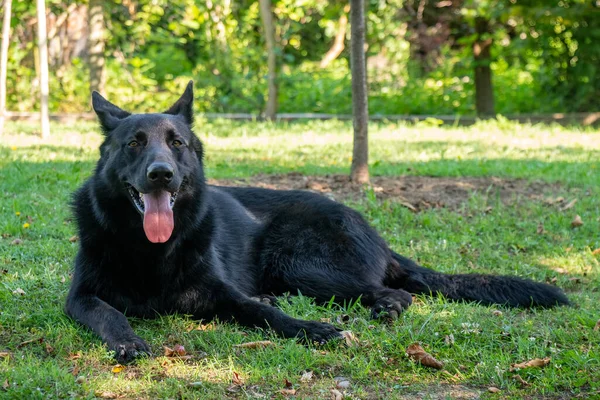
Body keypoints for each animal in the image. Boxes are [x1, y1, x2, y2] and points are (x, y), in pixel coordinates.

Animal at [64, 83, 568, 364]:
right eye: (134, 143)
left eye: (176, 143)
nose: (161, 174)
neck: (150, 251)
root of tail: (374, 233)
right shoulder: (80, 299)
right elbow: (109, 315)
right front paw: (128, 341)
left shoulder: (223, 293)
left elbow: (266, 315)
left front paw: (313, 329)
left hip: (301, 265)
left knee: (395, 293)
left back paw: (383, 307)